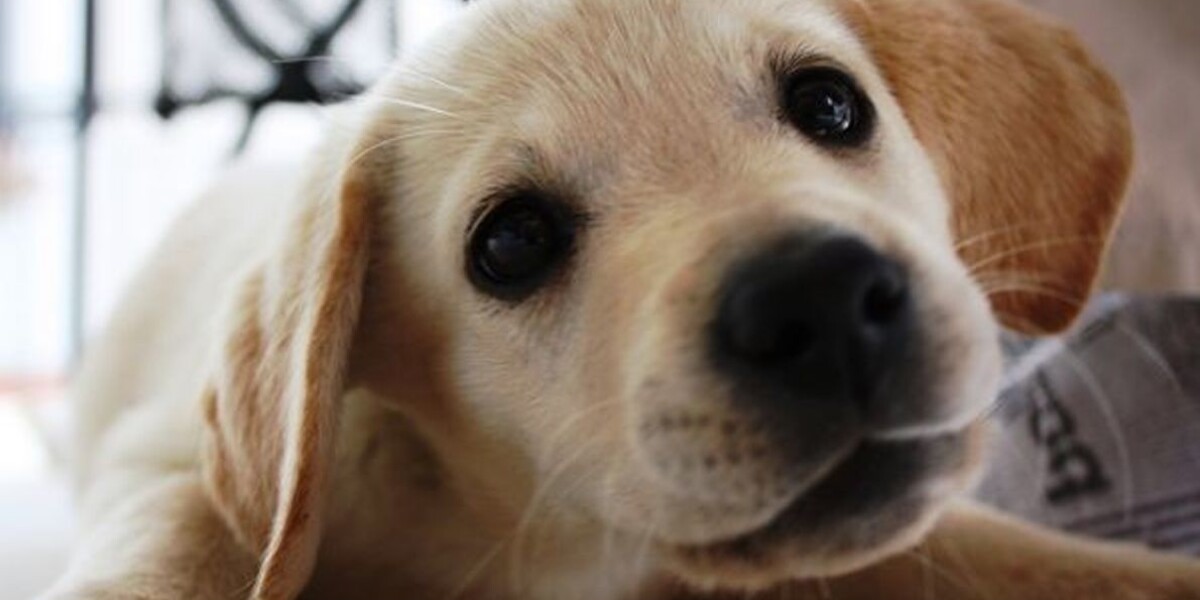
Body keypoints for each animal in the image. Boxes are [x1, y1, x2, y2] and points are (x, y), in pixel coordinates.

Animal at [42, 1, 1200, 600]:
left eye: (830, 104)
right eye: (512, 243)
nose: (820, 299)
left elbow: (1066, 564)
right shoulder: (175, 468)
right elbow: (179, 549)